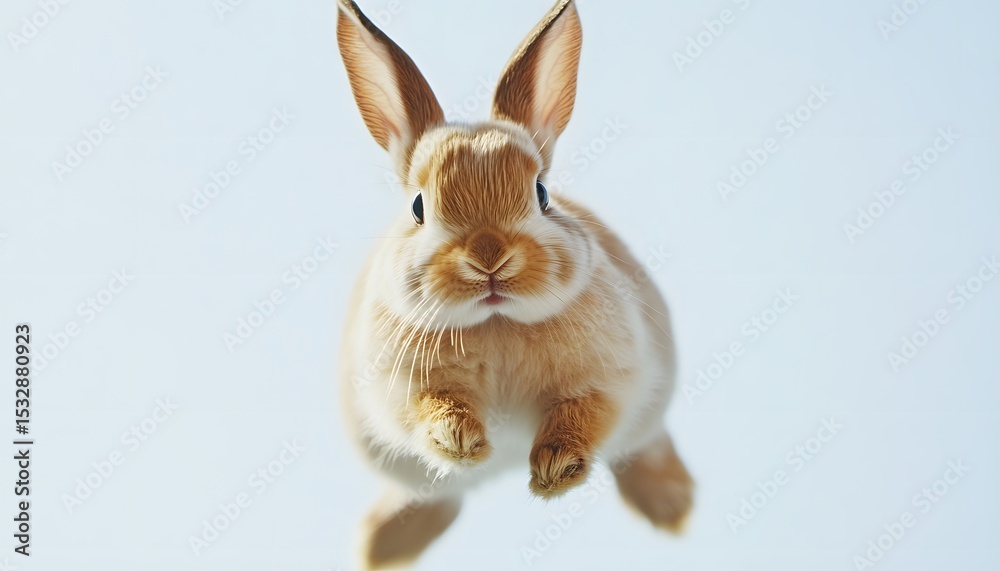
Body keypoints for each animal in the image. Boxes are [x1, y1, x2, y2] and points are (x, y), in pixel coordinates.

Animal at [334, 0, 694, 568]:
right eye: (418, 207)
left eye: (542, 194)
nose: (489, 257)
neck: (496, 319)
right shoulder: (400, 387)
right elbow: (433, 410)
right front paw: (465, 443)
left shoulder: (613, 378)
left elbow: (583, 413)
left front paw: (554, 471)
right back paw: (385, 543)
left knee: (645, 446)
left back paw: (672, 508)